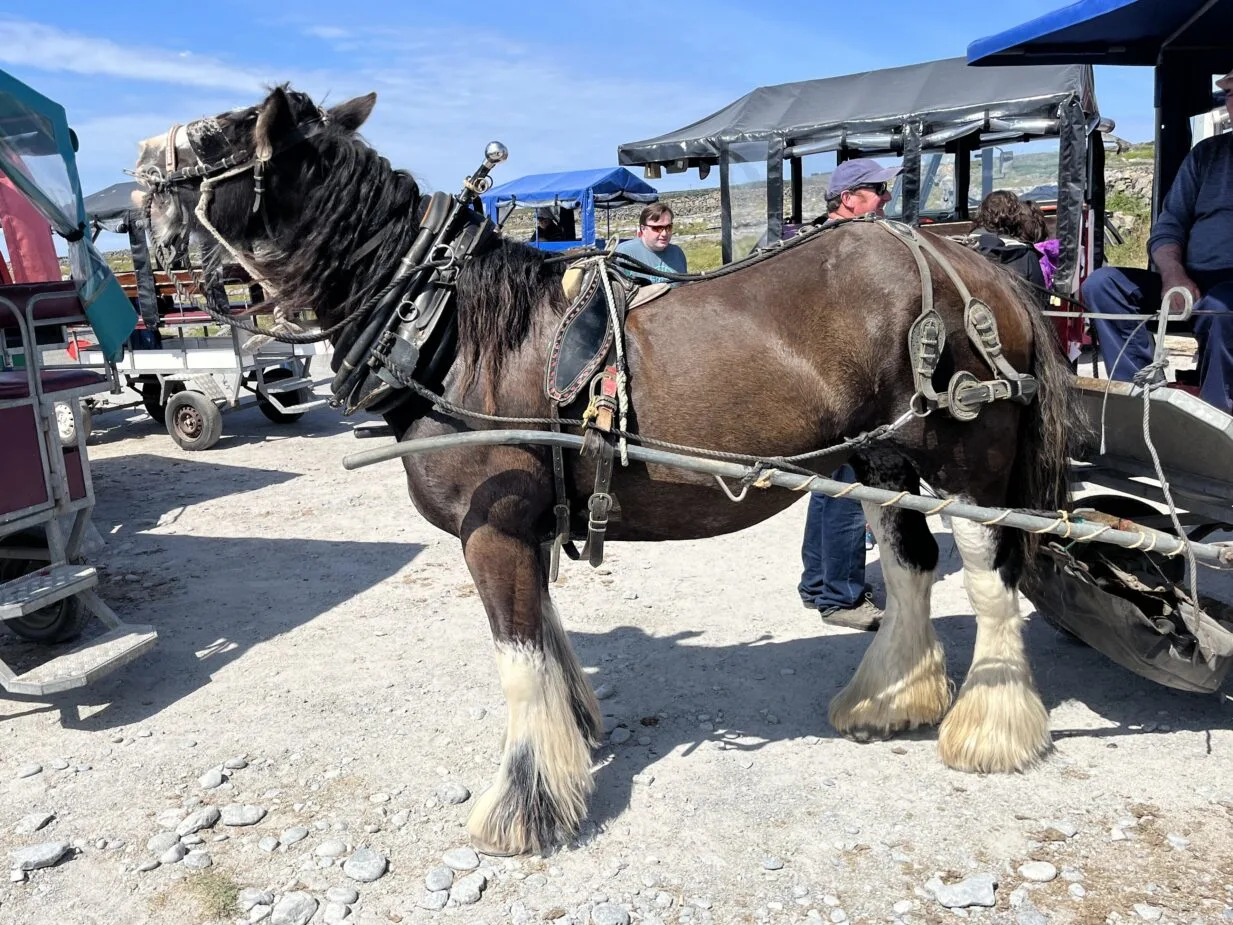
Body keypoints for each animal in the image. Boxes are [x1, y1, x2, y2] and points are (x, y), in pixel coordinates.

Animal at [134, 86, 1077, 857]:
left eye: (210, 139)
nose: (136, 179)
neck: (440, 324)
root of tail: (972, 263)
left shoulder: (494, 529)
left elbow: (518, 656)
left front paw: (523, 805)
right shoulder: (525, 527)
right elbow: (547, 640)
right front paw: (573, 738)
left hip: (964, 460)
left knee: (987, 578)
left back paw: (990, 726)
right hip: (877, 456)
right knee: (912, 562)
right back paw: (890, 698)